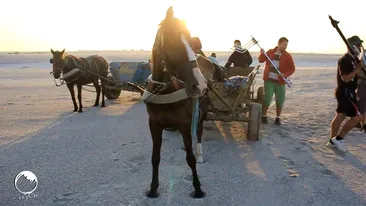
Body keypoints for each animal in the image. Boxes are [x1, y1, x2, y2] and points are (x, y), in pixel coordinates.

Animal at [142, 7, 210, 199]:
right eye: (172, 39)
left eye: (191, 41)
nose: (200, 85)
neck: (165, 90)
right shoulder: (154, 124)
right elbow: (155, 157)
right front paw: (153, 188)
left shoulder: (185, 124)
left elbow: (190, 159)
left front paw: (198, 188)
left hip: (201, 115)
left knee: (199, 133)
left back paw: (200, 153)